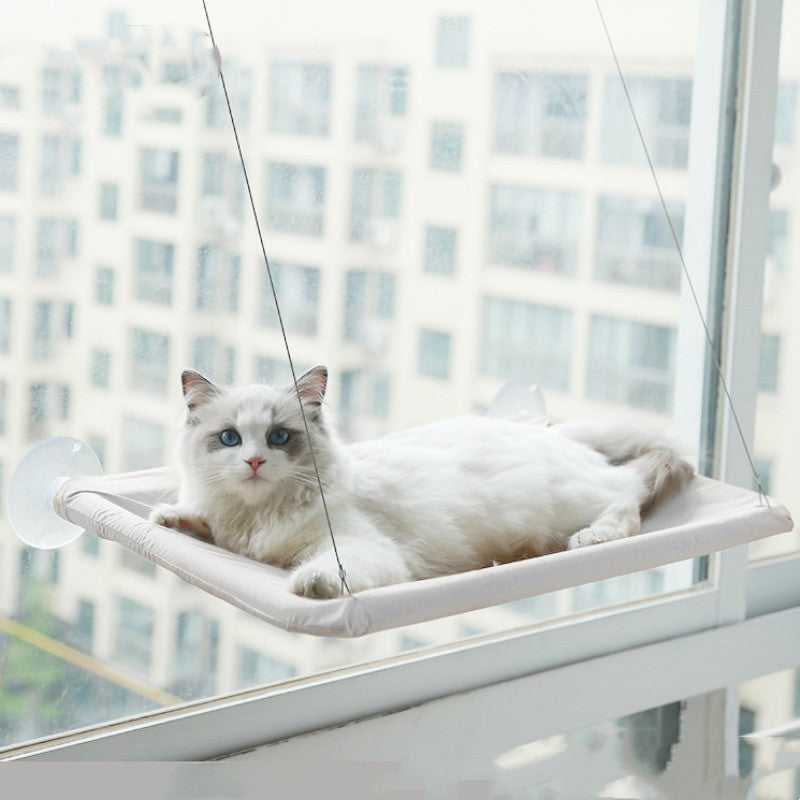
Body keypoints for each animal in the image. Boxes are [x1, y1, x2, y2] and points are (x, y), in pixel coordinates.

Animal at [148, 366, 692, 596]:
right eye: (231, 439)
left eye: (279, 437)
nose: (256, 462)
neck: (257, 517)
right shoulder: (231, 531)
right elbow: (201, 523)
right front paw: (170, 518)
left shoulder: (359, 547)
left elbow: (327, 569)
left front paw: (310, 583)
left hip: (570, 502)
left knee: (627, 500)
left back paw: (590, 538)